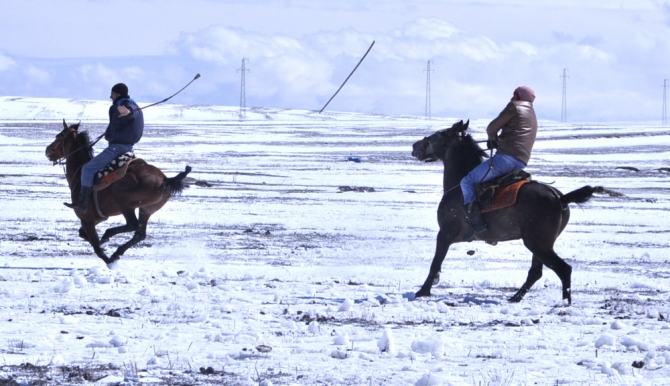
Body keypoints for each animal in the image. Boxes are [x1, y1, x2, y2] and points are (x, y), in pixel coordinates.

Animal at [45, 120, 192, 266]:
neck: (80, 174)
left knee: (133, 225)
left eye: (59, 136)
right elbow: (83, 234)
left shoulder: (87, 220)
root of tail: (165, 179)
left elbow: (96, 247)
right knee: (140, 233)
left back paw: (109, 238)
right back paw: (117, 250)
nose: (47, 150)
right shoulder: (97, 219)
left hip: (124, 202)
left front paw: (108, 259)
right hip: (147, 209)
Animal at [412, 120, 600, 304]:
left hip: (537, 244)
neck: (458, 187)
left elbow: (435, 262)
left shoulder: (445, 233)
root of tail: (559, 198)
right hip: (541, 244)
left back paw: (564, 303)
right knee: (536, 272)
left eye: (438, 135)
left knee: (563, 269)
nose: (415, 146)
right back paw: (515, 298)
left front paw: (422, 291)